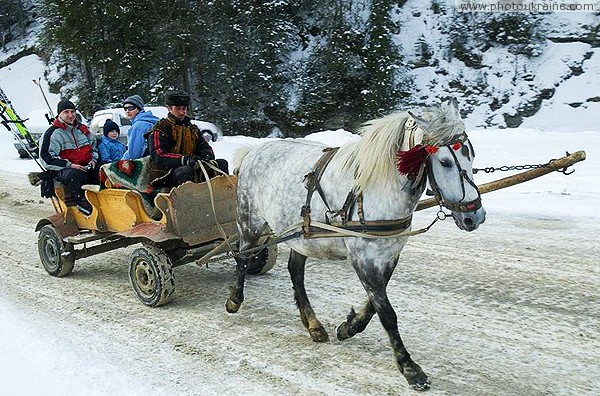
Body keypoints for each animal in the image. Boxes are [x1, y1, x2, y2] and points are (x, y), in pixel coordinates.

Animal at [226, 100, 488, 392]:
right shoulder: (362, 258)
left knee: (295, 272)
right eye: (445, 162)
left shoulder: (388, 254)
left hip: (300, 235)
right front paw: (409, 367)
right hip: (249, 221)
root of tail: (253, 151)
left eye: (471, 156)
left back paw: (313, 324)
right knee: (243, 258)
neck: (376, 189)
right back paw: (234, 300)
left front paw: (349, 327)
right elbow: (387, 312)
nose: (474, 216)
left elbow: (375, 303)